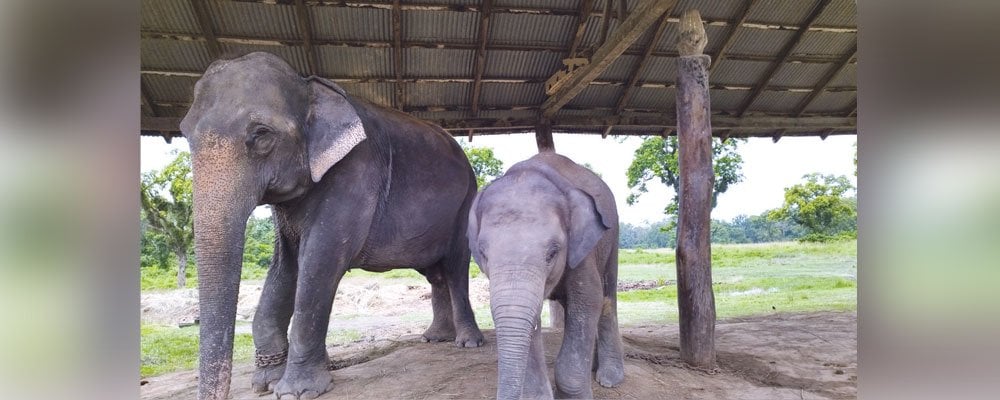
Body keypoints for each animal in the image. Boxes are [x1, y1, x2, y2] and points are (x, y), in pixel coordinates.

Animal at [185, 53, 488, 400]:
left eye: (261, 134)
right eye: (185, 133)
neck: (308, 86)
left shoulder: (355, 174)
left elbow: (319, 262)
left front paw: (296, 391)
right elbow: (285, 267)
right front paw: (266, 383)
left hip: (465, 203)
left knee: (455, 268)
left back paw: (468, 343)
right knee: (436, 275)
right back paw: (434, 338)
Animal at [468, 152, 624, 398]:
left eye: (552, 252)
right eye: (483, 253)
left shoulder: (583, 251)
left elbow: (589, 299)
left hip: (612, 236)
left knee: (607, 296)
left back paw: (609, 379)